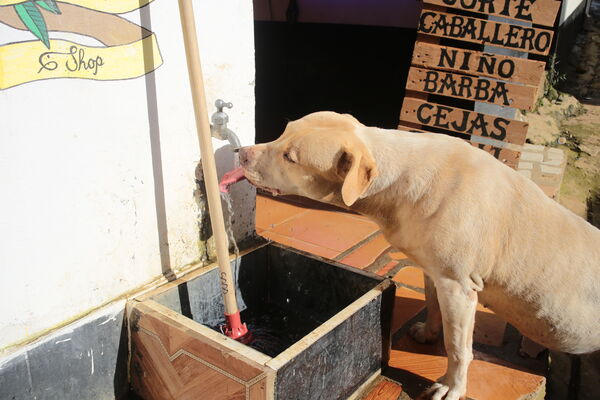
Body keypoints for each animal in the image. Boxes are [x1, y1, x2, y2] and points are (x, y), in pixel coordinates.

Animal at [232, 111, 600, 398]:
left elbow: (458, 347)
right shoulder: (433, 271)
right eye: (282, 131)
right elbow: (433, 305)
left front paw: (453, 386)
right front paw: (428, 333)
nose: (240, 152)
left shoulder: (459, 285)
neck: (397, 176)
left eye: (290, 157)